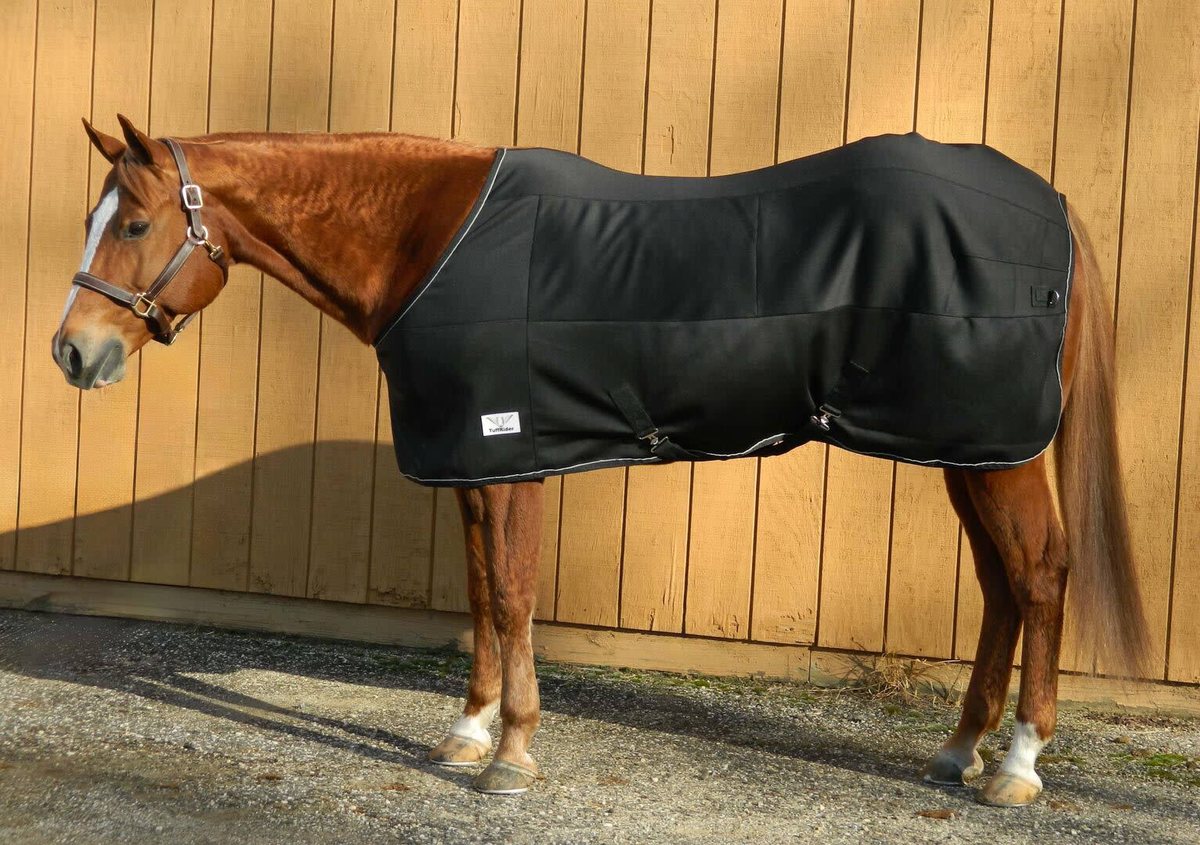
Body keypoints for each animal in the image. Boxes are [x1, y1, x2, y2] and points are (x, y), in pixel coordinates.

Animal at [53, 115, 1148, 805]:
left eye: (137, 222)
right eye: (92, 219)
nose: (72, 352)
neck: (429, 239)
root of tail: (1049, 205)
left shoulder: (510, 453)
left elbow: (514, 593)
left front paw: (512, 755)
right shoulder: (473, 463)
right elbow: (484, 591)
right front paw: (470, 731)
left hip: (996, 451)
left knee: (1041, 573)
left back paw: (1018, 764)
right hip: (968, 447)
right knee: (1002, 583)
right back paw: (961, 748)